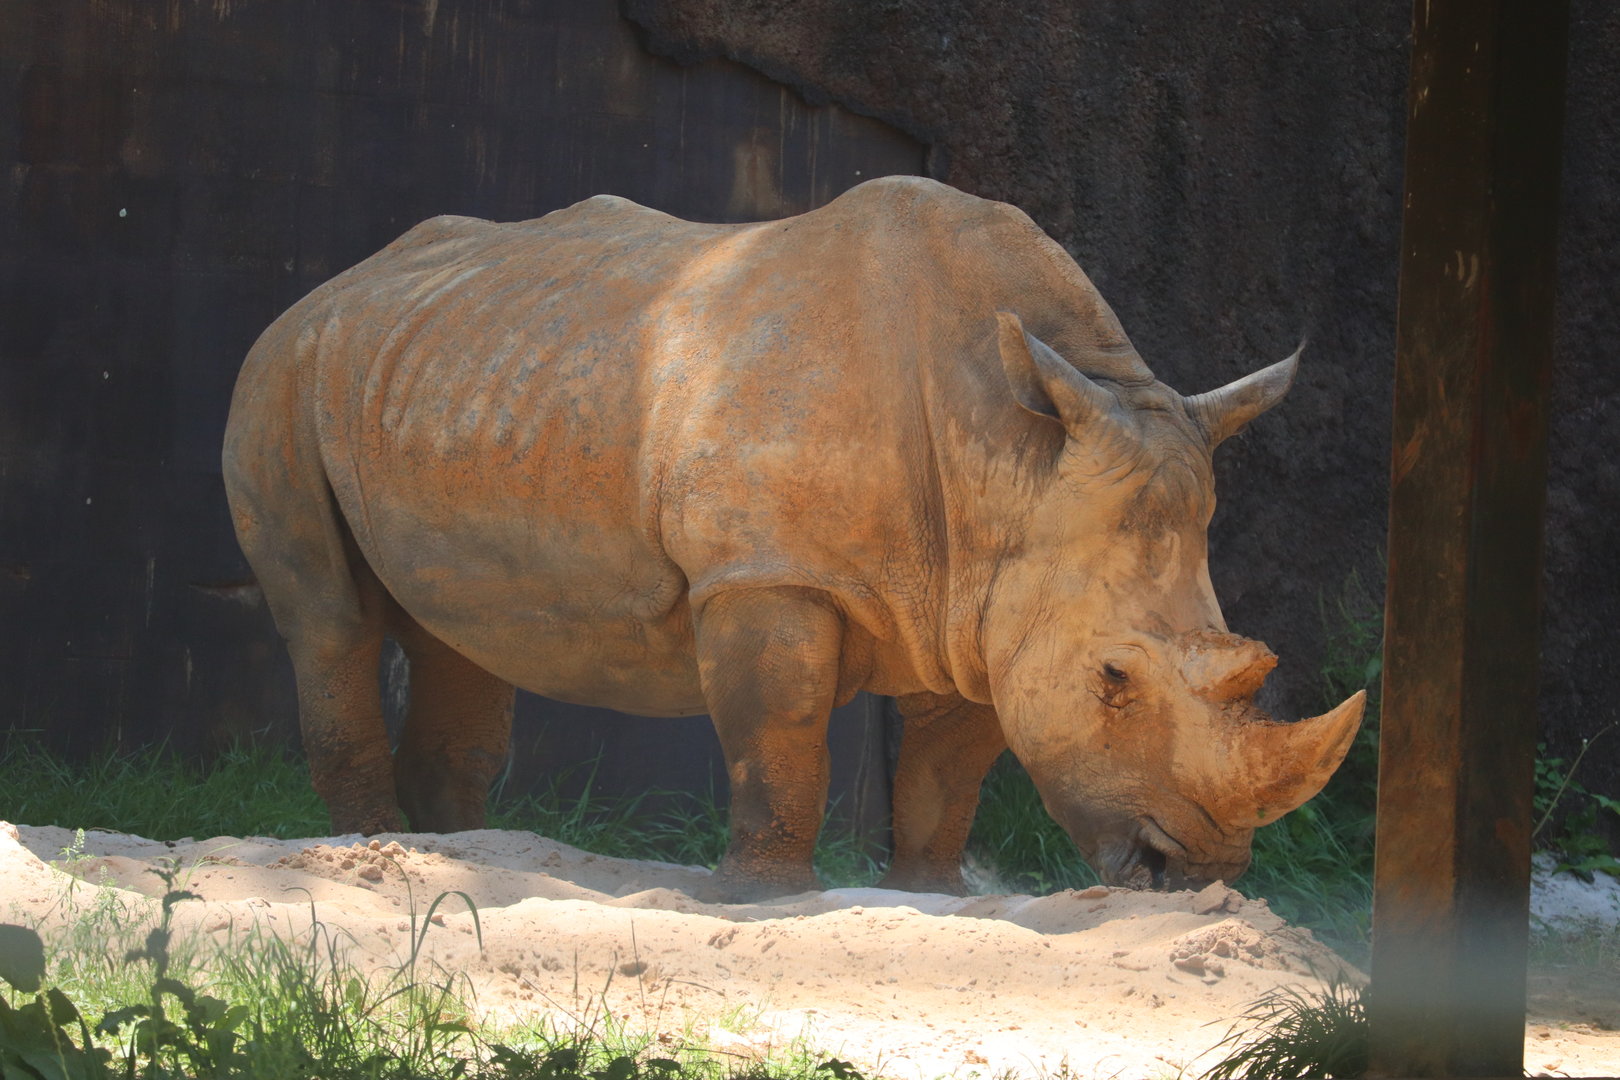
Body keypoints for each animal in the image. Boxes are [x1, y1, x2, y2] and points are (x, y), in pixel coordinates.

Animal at [223, 175, 1363, 899]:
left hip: (439, 375)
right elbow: (780, 729)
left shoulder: (985, 594)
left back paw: (464, 853)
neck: (1015, 456)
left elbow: (951, 764)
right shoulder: (763, 573)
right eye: (1114, 681)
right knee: (328, 620)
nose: (1196, 871)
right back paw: (376, 850)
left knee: (459, 634)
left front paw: (933, 893)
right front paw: (763, 894)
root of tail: (338, 282)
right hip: (280, 373)